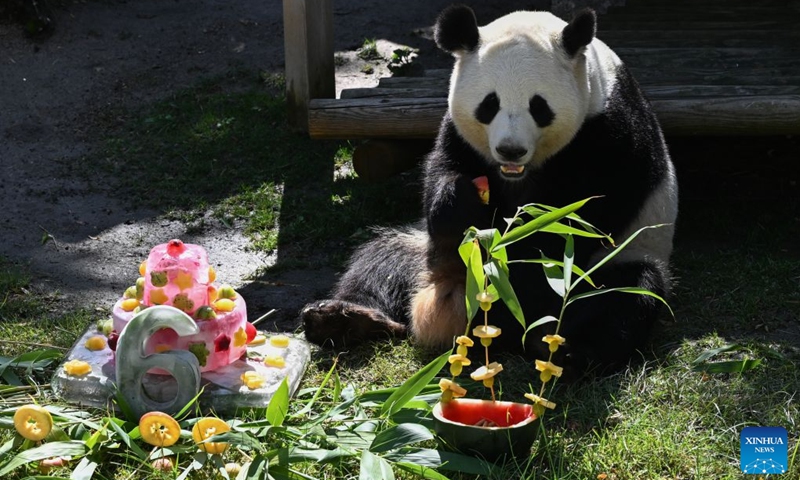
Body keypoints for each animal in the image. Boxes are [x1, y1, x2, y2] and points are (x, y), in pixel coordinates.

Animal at [301, 5, 678, 373]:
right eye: (489, 104)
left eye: (539, 107)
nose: (511, 150)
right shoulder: (457, 131)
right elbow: (442, 170)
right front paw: (461, 204)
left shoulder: (609, 134)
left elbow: (573, 223)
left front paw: (510, 261)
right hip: (418, 254)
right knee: (379, 260)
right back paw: (343, 318)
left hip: (617, 260)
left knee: (623, 295)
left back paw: (566, 350)